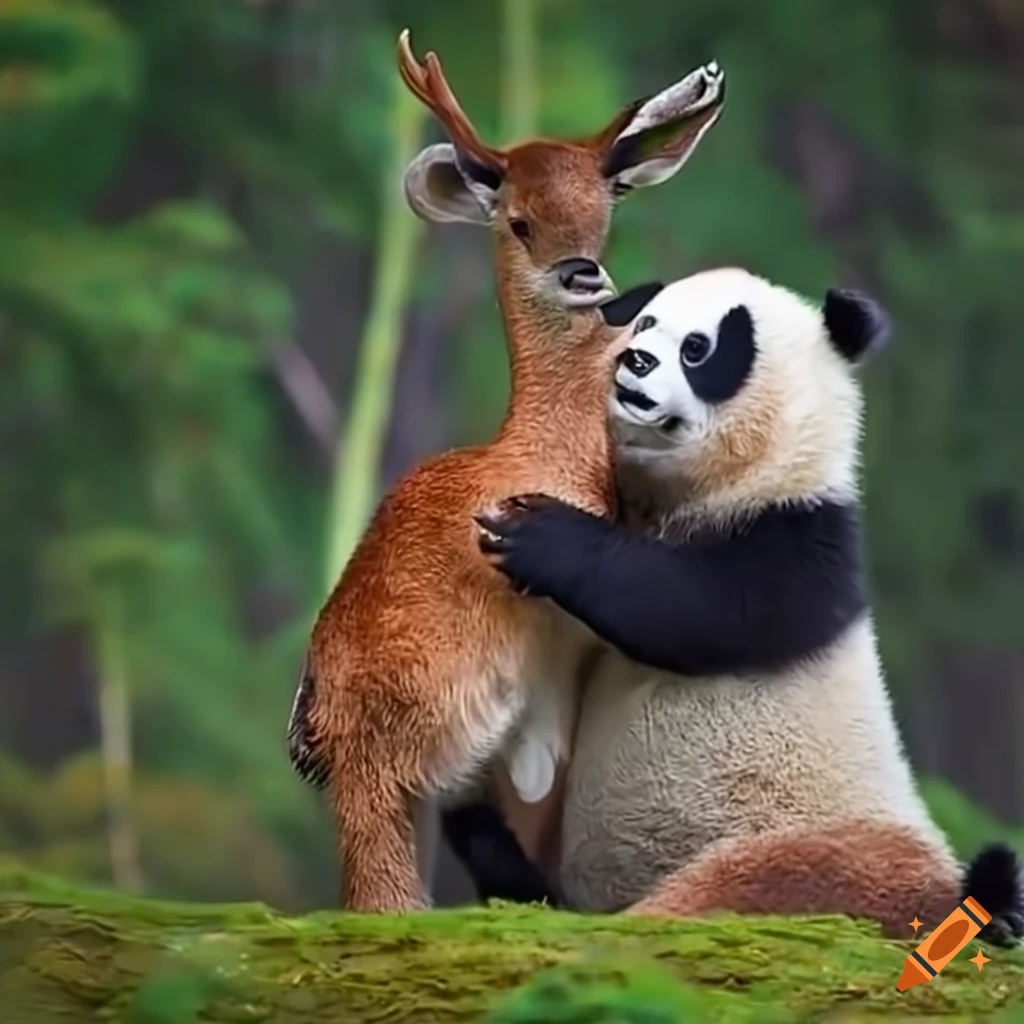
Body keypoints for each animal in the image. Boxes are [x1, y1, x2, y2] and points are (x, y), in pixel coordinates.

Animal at [286, 28, 726, 912]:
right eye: (520, 222)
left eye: (603, 213)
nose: (586, 276)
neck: (537, 451)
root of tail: (328, 733)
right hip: (407, 740)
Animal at [444, 267, 1024, 942]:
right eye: (645, 322)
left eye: (699, 350)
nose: (636, 360)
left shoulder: (804, 539)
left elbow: (695, 609)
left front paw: (539, 535)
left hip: (807, 841)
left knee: (773, 878)